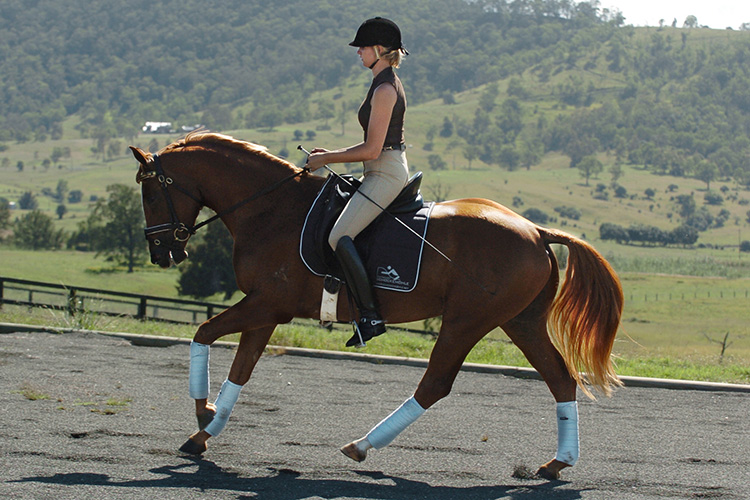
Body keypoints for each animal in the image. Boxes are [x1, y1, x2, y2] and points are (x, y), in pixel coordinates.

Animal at [132, 133, 624, 480]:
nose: (162, 254)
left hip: (466, 321)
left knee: (435, 384)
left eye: (150, 193)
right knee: (560, 379)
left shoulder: (266, 304)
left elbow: (204, 333)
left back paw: (361, 446)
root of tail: (537, 231)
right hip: (520, 321)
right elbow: (240, 369)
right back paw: (556, 464)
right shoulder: (266, 310)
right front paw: (204, 432)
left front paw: (203, 413)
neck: (270, 209)